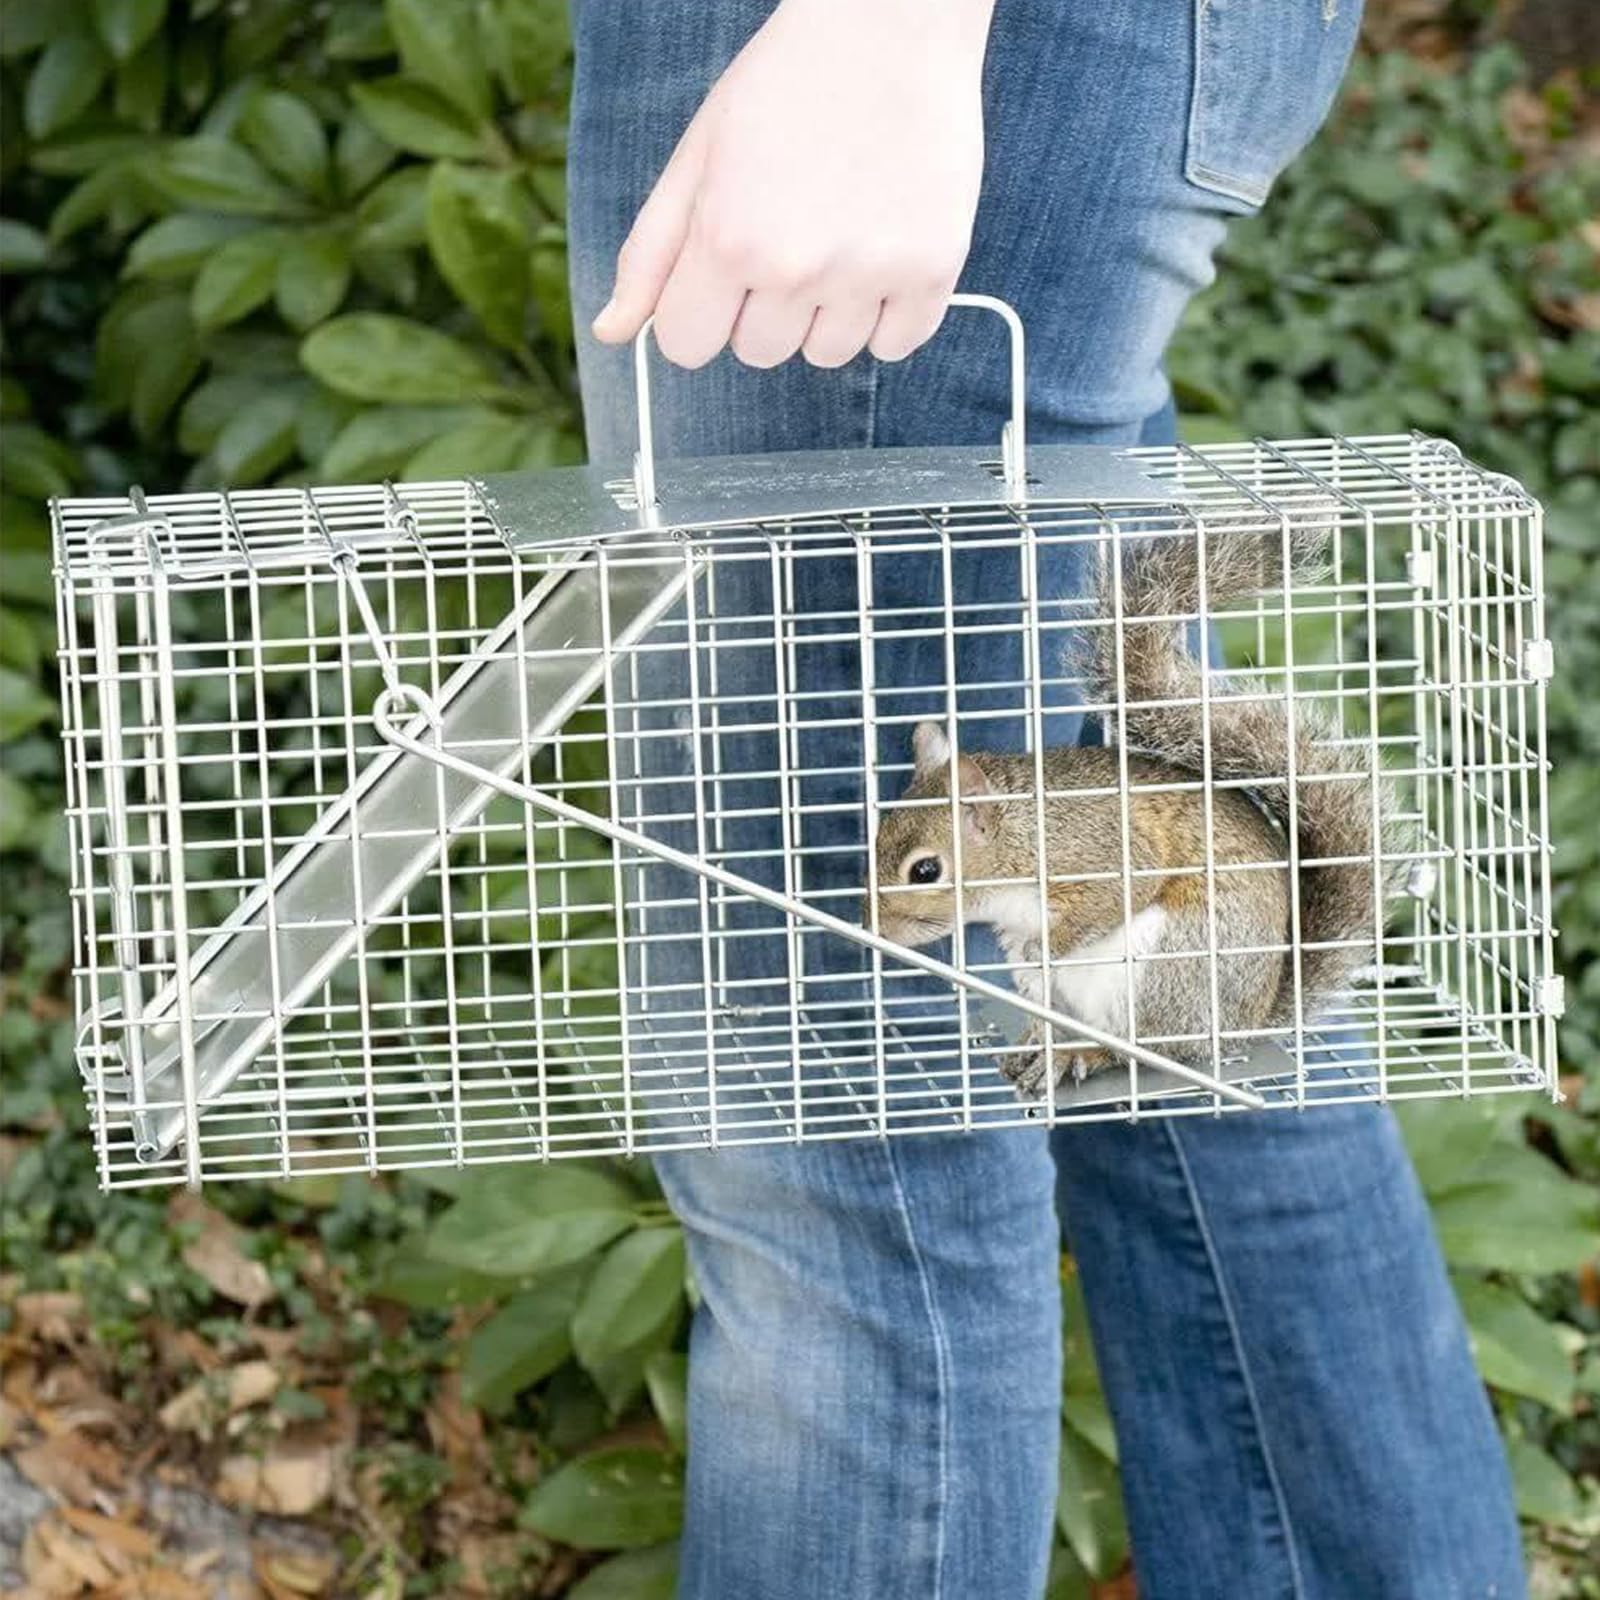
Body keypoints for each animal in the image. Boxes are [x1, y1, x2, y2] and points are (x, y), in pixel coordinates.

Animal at [867, 520, 1397, 1100]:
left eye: (925, 870)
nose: (874, 927)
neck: (1025, 835)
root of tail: (1244, 1023)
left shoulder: (1098, 852)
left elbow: (1121, 891)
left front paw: (1045, 945)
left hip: (1167, 966)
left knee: (1140, 1049)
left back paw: (1082, 1052)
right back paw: (1041, 1042)